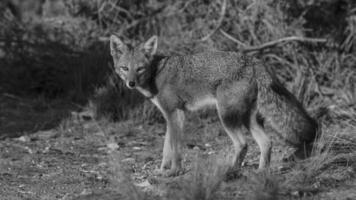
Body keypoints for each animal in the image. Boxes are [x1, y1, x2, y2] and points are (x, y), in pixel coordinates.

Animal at [108, 35, 318, 176]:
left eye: (139, 69)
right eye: (125, 68)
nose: (131, 83)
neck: (156, 74)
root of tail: (254, 61)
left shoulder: (175, 114)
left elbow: (175, 148)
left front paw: (174, 171)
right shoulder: (171, 116)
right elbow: (167, 147)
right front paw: (162, 170)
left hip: (226, 117)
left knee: (242, 144)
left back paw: (231, 171)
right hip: (247, 119)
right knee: (266, 143)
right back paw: (260, 172)